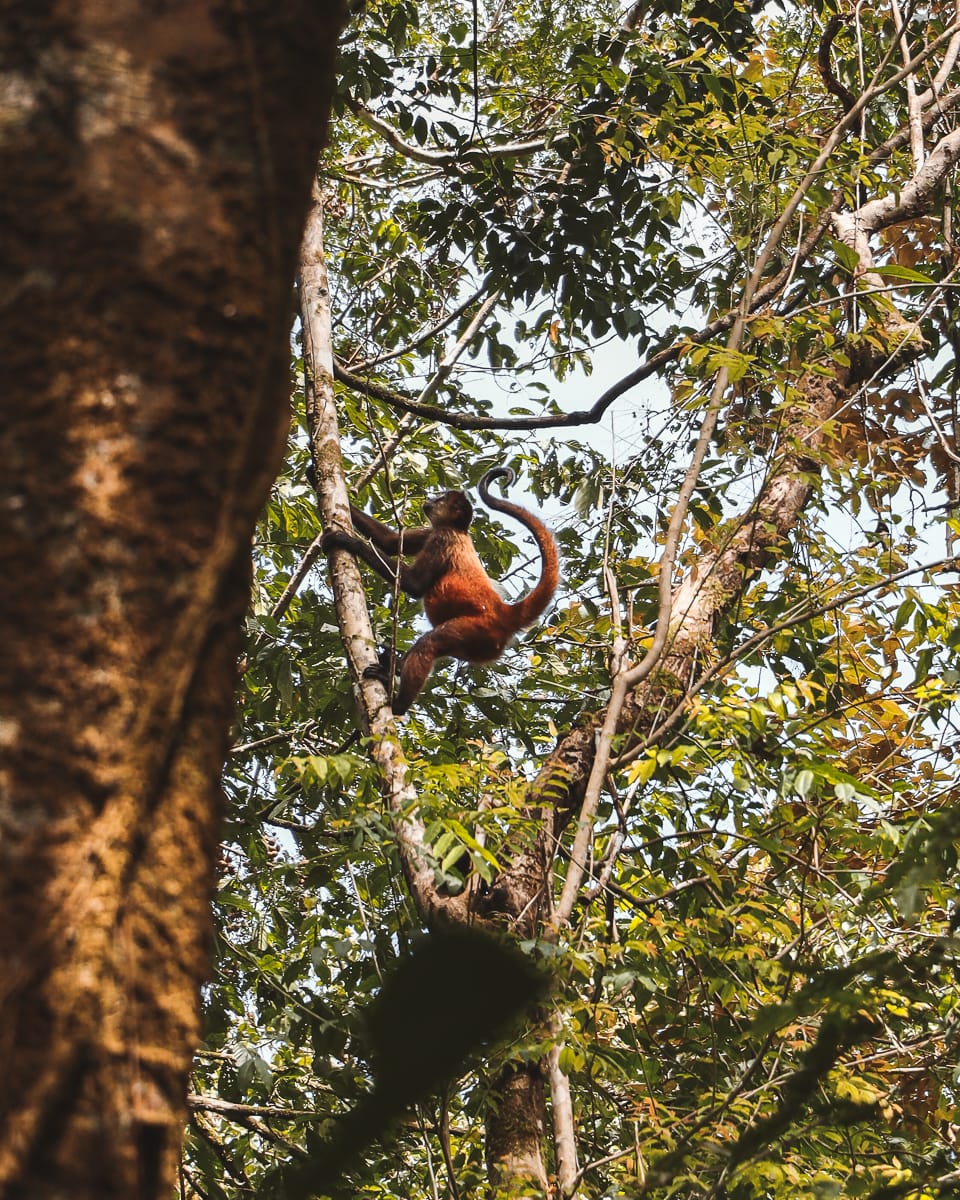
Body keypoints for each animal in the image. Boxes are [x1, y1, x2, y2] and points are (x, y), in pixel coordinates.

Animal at [321, 467, 559, 715]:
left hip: (478, 630)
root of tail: (504, 611)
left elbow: (413, 584)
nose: (430, 498)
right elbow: (391, 542)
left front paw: (346, 540)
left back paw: (398, 704)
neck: (458, 530)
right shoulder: (432, 532)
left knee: (430, 643)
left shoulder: (442, 537)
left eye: (441, 499)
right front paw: (312, 472)